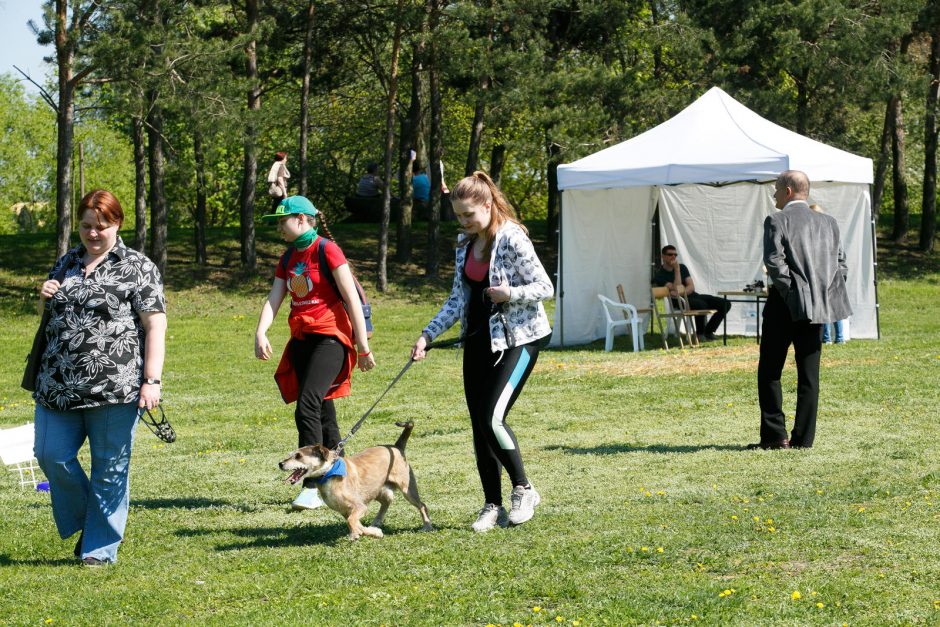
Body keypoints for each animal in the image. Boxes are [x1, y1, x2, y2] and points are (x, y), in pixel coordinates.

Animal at [274, 422, 432, 540]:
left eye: (298, 456)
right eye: (290, 455)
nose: (280, 464)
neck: (329, 473)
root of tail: (396, 446)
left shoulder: (359, 506)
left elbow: (352, 521)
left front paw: (357, 534)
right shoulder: (346, 510)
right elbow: (355, 523)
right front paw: (371, 532)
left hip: (406, 487)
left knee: (422, 505)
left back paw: (427, 526)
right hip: (377, 489)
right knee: (386, 501)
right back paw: (376, 522)